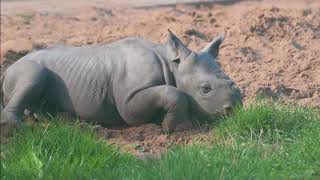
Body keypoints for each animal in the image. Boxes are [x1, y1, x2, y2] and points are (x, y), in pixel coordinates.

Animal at [0, 30, 242, 132]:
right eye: (205, 89)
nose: (235, 109)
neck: (172, 64)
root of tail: (8, 67)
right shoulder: (129, 100)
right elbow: (172, 93)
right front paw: (173, 128)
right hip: (24, 66)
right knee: (33, 75)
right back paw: (16, 128)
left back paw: (49, 118)